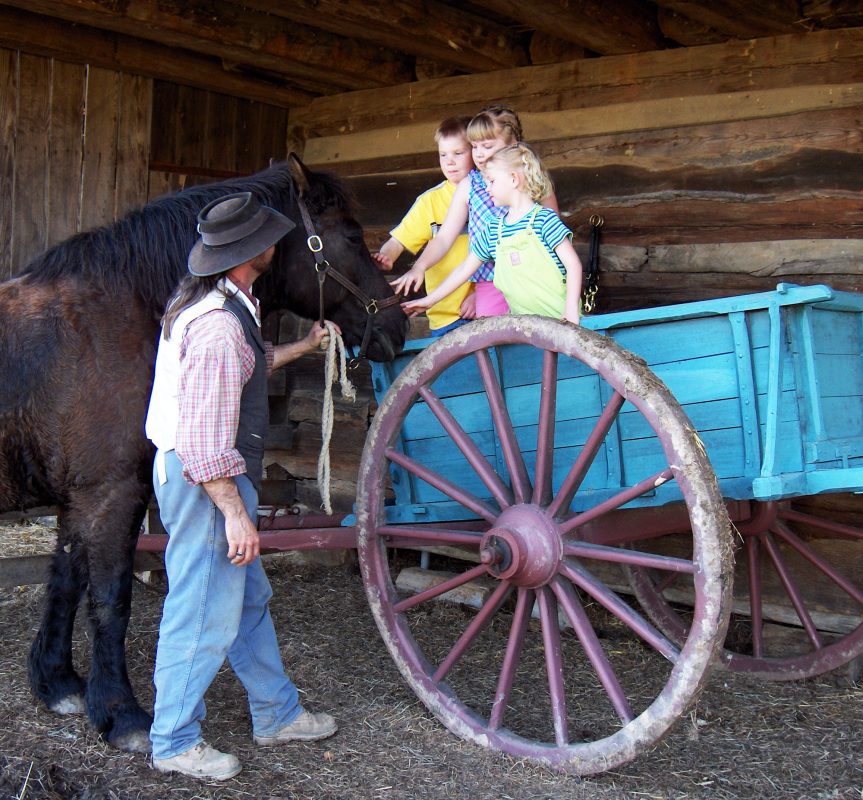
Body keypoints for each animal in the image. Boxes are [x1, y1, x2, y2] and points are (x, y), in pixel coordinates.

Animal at [0, 154, 407, 752]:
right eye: (352, 236)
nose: (398, 325)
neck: (120, 311)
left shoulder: (79, 498)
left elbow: (66, 579)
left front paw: (57, 684)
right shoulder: (110, 494)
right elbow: (110, 598)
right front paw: (122, 715)